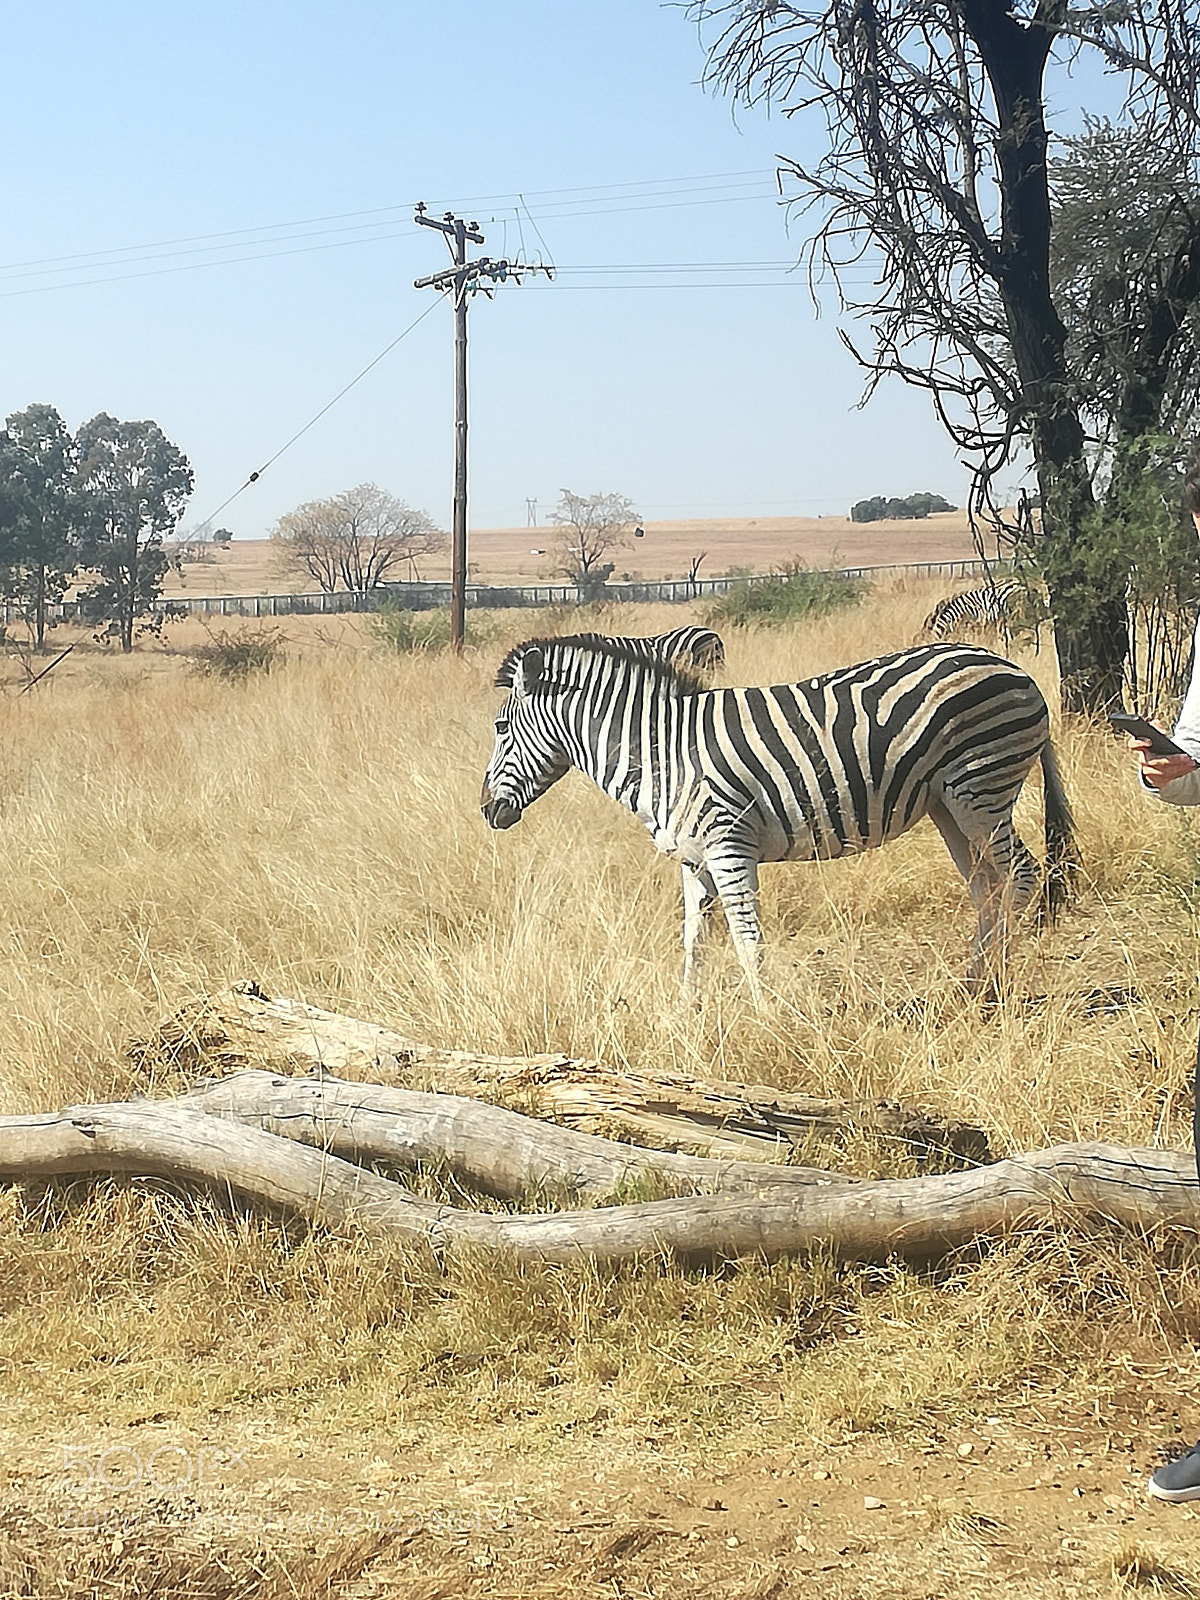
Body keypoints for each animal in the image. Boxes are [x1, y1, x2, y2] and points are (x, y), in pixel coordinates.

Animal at [481, 635, 1075, 997]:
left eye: (502, 728)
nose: (486, 810)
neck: (662, 754)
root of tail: (1014, 669)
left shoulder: (729, 846)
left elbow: (748, 941)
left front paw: (766, 1015)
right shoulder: (694, 859)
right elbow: (694, 939)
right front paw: (687, 1013)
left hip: (982, 787)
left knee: (1021, 876)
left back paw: (994, 986)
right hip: (947, 803)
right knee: (986, 886)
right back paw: (971, 984)